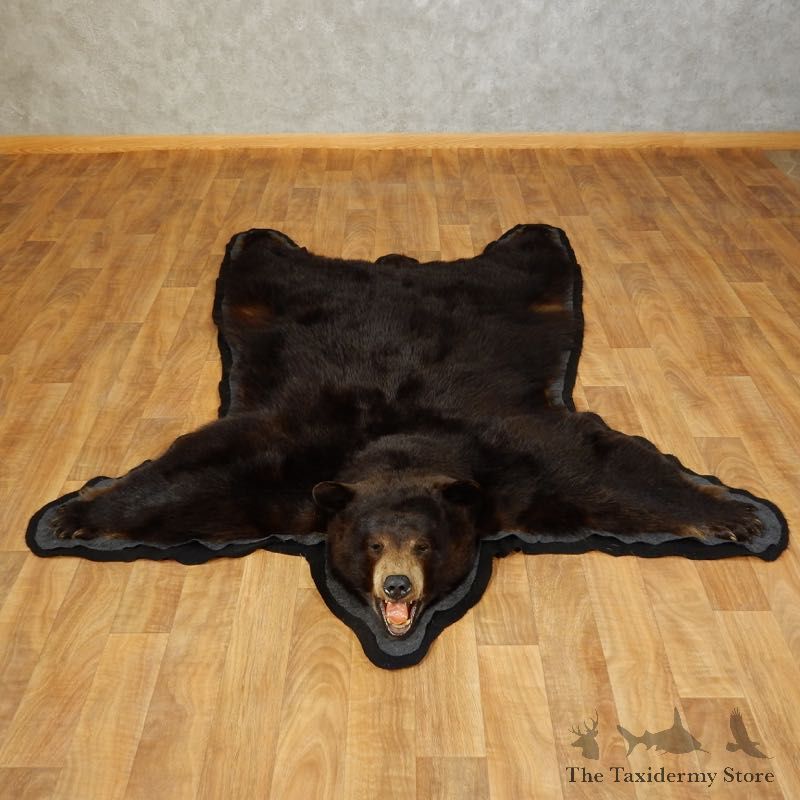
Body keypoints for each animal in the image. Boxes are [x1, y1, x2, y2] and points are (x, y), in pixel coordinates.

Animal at [50, 224, 762, 638]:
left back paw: (527, 232)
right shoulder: (288, 467)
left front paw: (739, 515)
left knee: (528, 258)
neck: (397, 446)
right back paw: (265, 237)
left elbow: (602, 472)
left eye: (423, 545)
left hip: (514, 290)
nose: (397, 586)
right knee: (265, 263)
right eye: (371, 545)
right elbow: (195, 476)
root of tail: (395, 264)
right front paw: (73, 515)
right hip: (269, 296)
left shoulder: (514, 463)